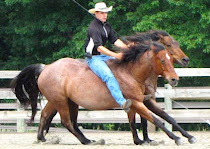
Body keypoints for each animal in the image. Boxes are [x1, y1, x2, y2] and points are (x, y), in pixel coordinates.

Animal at [11, 35, 194, 145]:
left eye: (169, 58)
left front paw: (189, 136)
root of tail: (46, 67)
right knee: (66, 122)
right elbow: (154, 120)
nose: (174, 79)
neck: (131, 72)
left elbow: (168, 118)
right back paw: (84, 141)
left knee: (54, 117)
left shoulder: (145, 100)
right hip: (61, 101)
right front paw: (175, 139)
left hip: (67, 101)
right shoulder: (135, 103)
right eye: (163, 59)